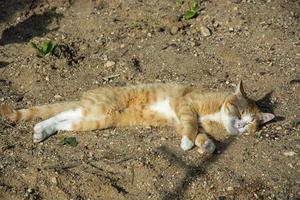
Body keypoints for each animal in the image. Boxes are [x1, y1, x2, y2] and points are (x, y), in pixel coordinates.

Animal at [0, 80, 274, 154]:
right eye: (240, 112)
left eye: (251, 123)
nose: (241, 124)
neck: (215, 114)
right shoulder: (186, 107)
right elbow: (191, 126)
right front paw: (188, 143)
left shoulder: (186, 122)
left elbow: (200, 135)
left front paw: (205, 146)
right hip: (98, 109)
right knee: (60, 112)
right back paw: (39, 128)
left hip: (94, 120)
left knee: (63, 122)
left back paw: (41, 132)